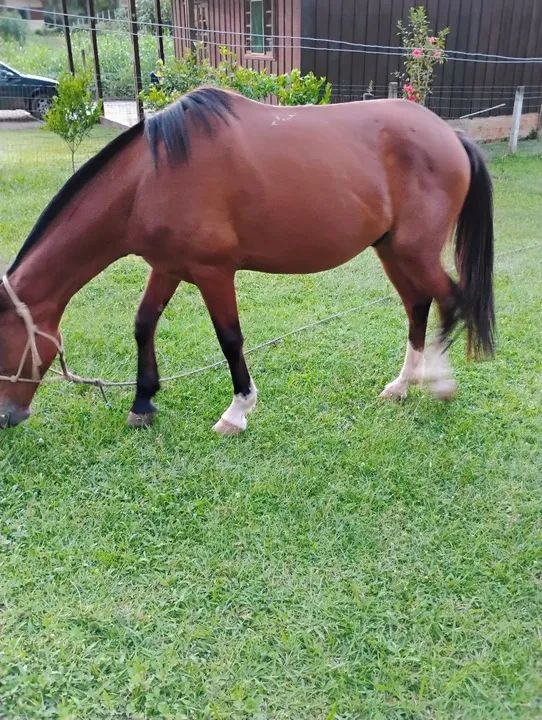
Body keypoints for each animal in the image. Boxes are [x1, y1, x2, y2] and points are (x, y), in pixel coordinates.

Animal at [0, 87, 494, 433]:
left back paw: (440, 383)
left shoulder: (213, 272)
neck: (151, 177)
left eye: (4, 346)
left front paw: (237, 412)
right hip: (391, 249)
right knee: (418, 305)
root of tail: (451, 135)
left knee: (450, 299)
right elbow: (143, 324)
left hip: (415, 250)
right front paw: (142, 403)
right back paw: (402, 386)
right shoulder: (167, 267)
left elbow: (230, 339)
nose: (7, 416)